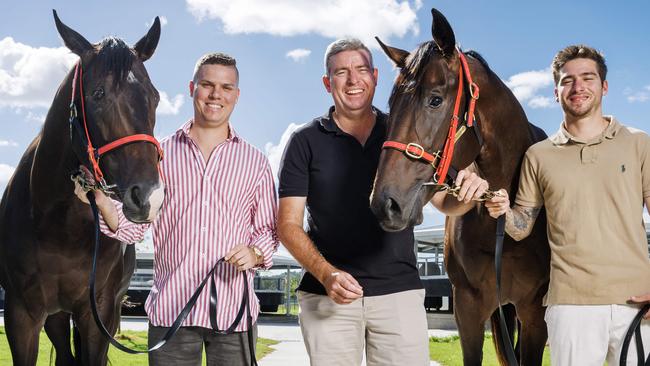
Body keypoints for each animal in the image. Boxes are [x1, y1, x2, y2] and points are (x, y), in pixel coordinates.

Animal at [0, 11, 163, 366]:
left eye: (155, 96)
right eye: (98, 93)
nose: (149, 197)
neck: (61, 227)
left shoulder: (98, 313)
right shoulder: (21, 316)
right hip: (57, 316)